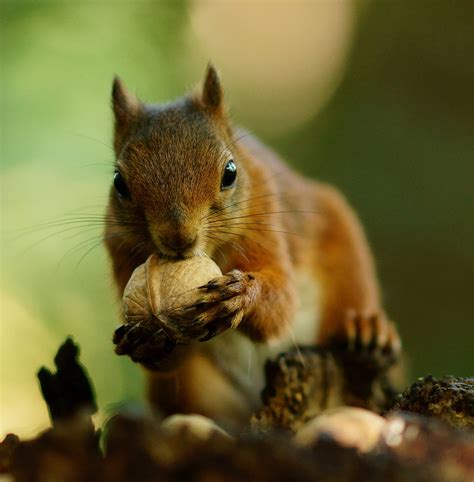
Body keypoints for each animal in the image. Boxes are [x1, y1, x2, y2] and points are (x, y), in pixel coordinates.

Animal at [104, 65, 400, 434]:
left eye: (230, 172)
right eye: (119, 182)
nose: (178, 237)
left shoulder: (265, 224)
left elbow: (281, 306)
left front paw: (241, 295)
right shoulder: (121, 251)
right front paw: (146, 342)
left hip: (341, 247)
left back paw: (368, 336)